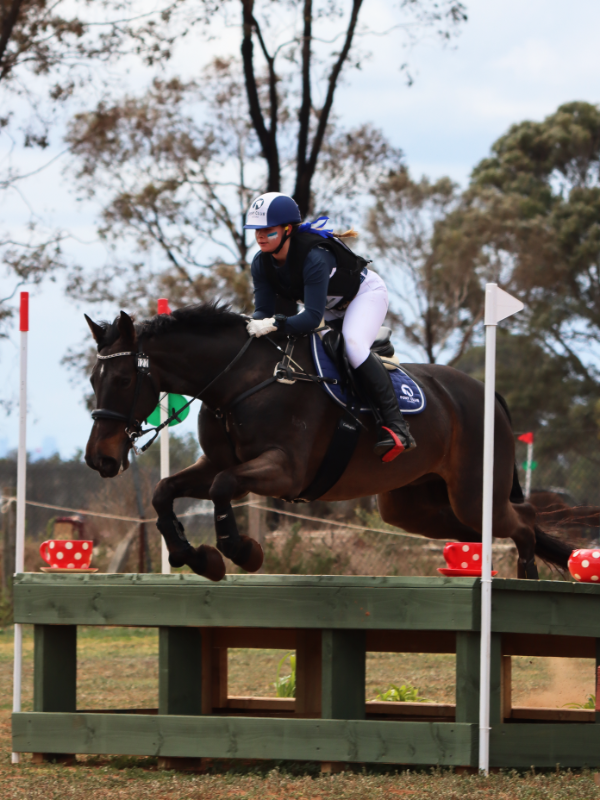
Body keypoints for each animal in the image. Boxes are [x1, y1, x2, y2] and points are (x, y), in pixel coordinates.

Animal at [84, 302, 575, 582]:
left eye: (124, 379)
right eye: (93, 378)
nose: (98, 459)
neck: (241, 380)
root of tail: (487, 394)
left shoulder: (284, 471)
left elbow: (223, 487)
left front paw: (243, 552)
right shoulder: (219, 466)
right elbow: (164, 491)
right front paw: (195, 557)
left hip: (472, 493)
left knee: (524, 521)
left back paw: (527, 579)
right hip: (417, 507)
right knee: (496, 530)